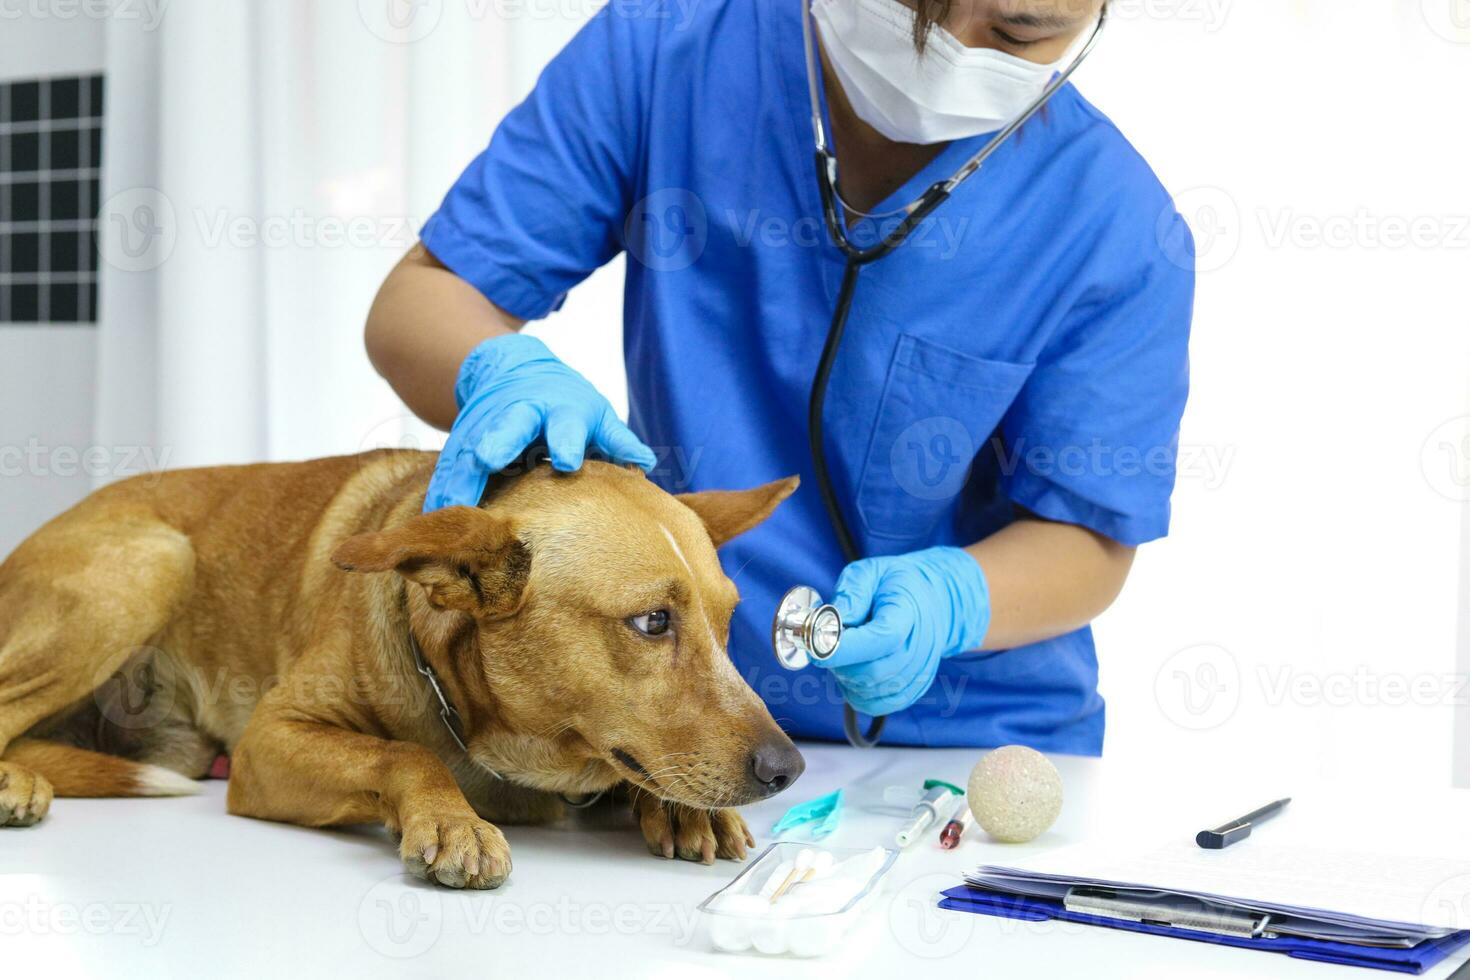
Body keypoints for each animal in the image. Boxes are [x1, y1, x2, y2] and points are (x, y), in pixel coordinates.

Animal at [0, 452, 805, 887]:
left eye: (729, 621)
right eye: (651, 622)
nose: (787, 769)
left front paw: (681, 809)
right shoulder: (267, 741)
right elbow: (405, 753)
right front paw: (452, 818)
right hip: (151, 564)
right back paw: (14, 783)